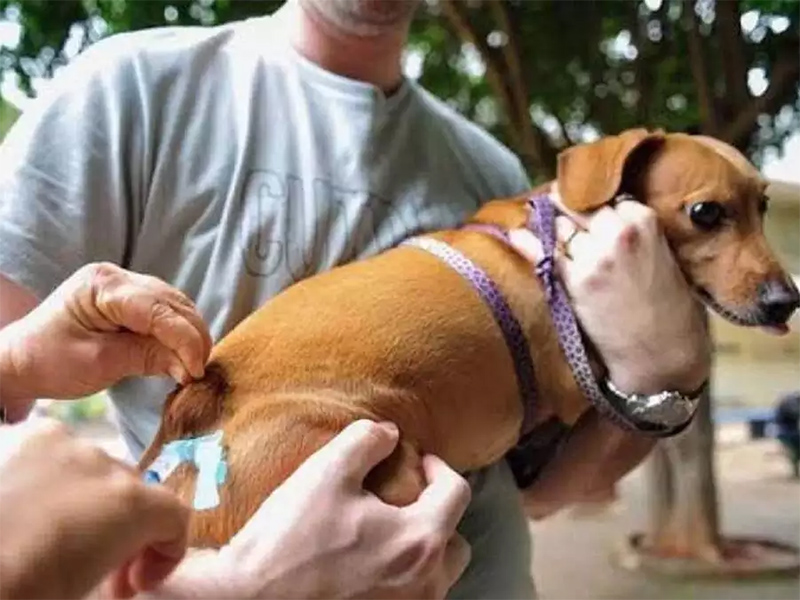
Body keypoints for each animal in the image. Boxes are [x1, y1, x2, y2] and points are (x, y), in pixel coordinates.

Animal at [139, 127, 800, 548]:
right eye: (706, 213)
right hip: (382, 462)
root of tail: (196, 407)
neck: (554, 234)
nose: (786, 300)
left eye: (764, 206)